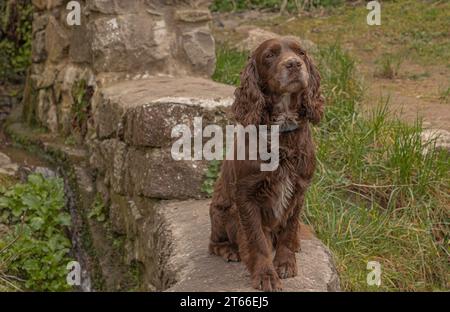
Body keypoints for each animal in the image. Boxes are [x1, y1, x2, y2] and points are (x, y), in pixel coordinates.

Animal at [208, 37, 324, 292]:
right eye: (270, 55)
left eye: (301, 53)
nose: (294, 64)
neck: (282, 130)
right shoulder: (246, 194)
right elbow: (256, 240)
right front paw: (265, 275)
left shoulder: (299, 188)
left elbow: (289, 228)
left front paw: (286, 262)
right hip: (220, 211)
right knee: (213, 243)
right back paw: (229, 250)